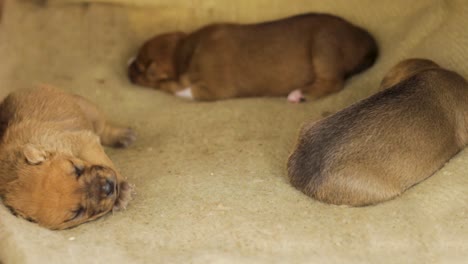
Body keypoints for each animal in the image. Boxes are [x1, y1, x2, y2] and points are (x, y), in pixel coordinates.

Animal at [0, 85, 136, 229]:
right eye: (77, 213)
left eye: (76, 169)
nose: (109, 187)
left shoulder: (83, 141)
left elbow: (102, 159)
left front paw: (122, 191)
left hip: (90, 109)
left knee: (104, 128)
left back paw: (122, 136)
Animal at [128, 13, 376, 103]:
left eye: (140, 68)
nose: (127, 65)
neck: (185, 51)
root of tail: (364, 37)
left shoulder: (210, 90)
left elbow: (176, 88)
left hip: (324, 47)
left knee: (334, 83)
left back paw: (299, 94)